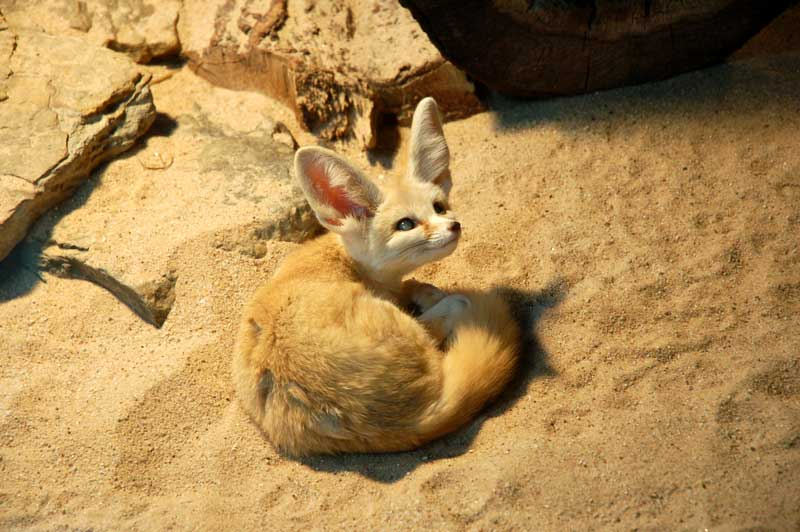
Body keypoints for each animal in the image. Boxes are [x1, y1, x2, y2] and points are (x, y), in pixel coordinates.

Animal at [233, 97, 520, 455]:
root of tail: (415, 420)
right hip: (412, 333)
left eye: (439, 207)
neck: (345, 259)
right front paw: (429, 293)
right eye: (406, 225)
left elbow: (412, 285)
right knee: (456, 307)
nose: (454, 226)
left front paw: (420, 289)